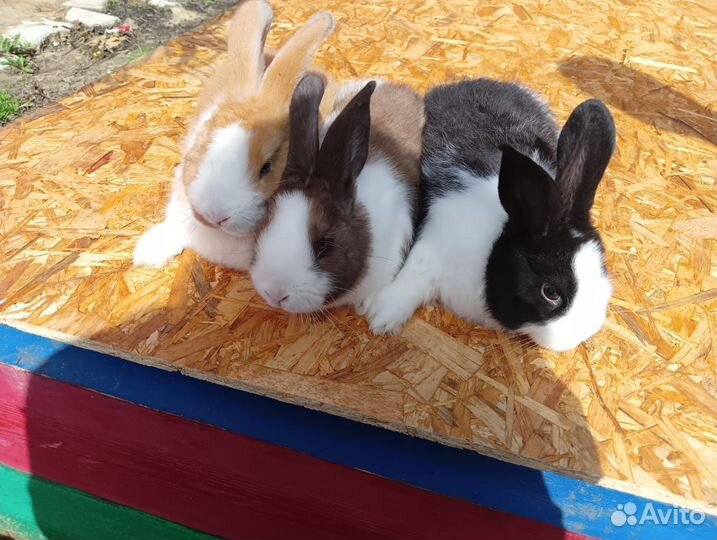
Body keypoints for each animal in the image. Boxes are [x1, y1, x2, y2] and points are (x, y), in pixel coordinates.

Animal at [362, 79, 616, 352]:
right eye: (550, 292)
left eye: (603, 270)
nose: (579, 336)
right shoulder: (432, 250)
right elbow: (410, 281)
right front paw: (381, 317)